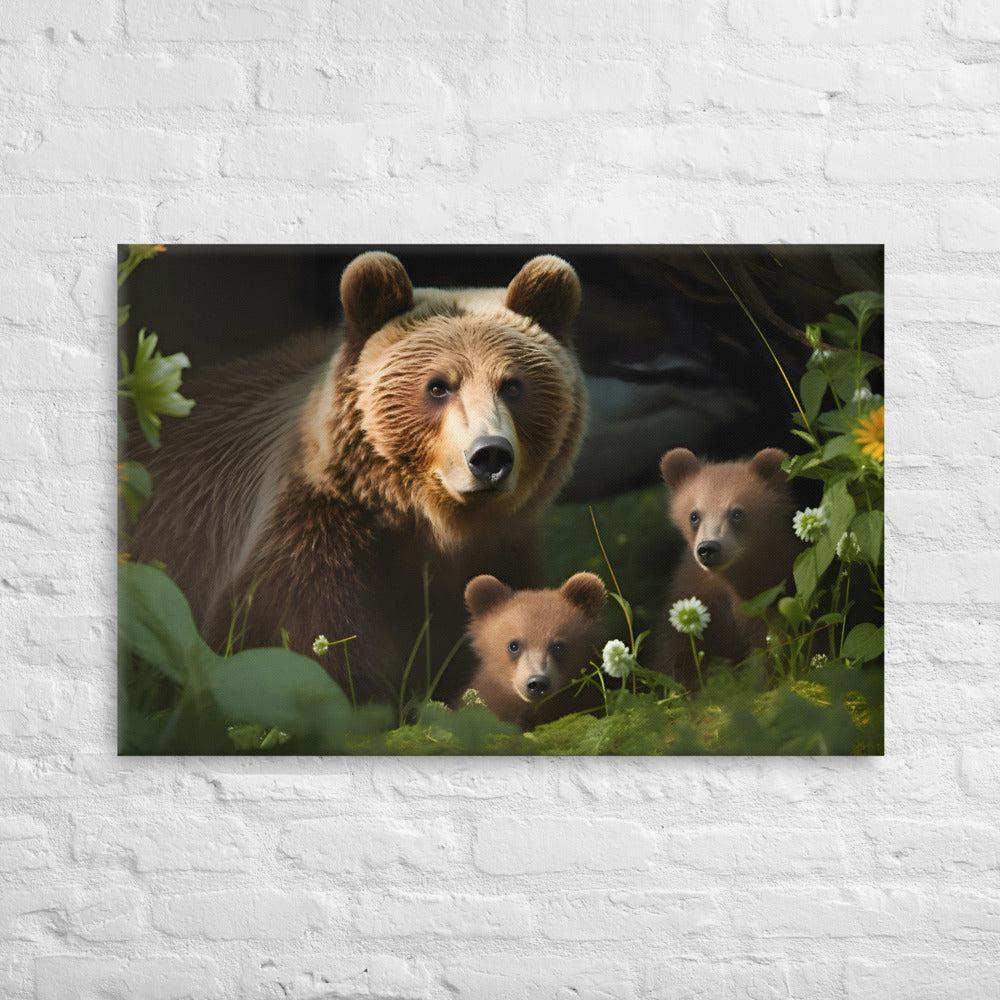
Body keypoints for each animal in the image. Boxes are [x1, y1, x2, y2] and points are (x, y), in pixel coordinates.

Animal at [130, 251, 587, 705]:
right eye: (438, 386)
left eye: (512, 385)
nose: (489, 454)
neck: (427, 525)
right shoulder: (313, 543)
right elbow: (303, 645)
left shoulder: (501, 552)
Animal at [652, 447, 800, 687]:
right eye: (694, 515)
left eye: (737, 513)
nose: (708, 548)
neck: (730, 580)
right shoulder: (697, 593)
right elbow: (679, 654)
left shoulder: (769, 593)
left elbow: (771, 649)